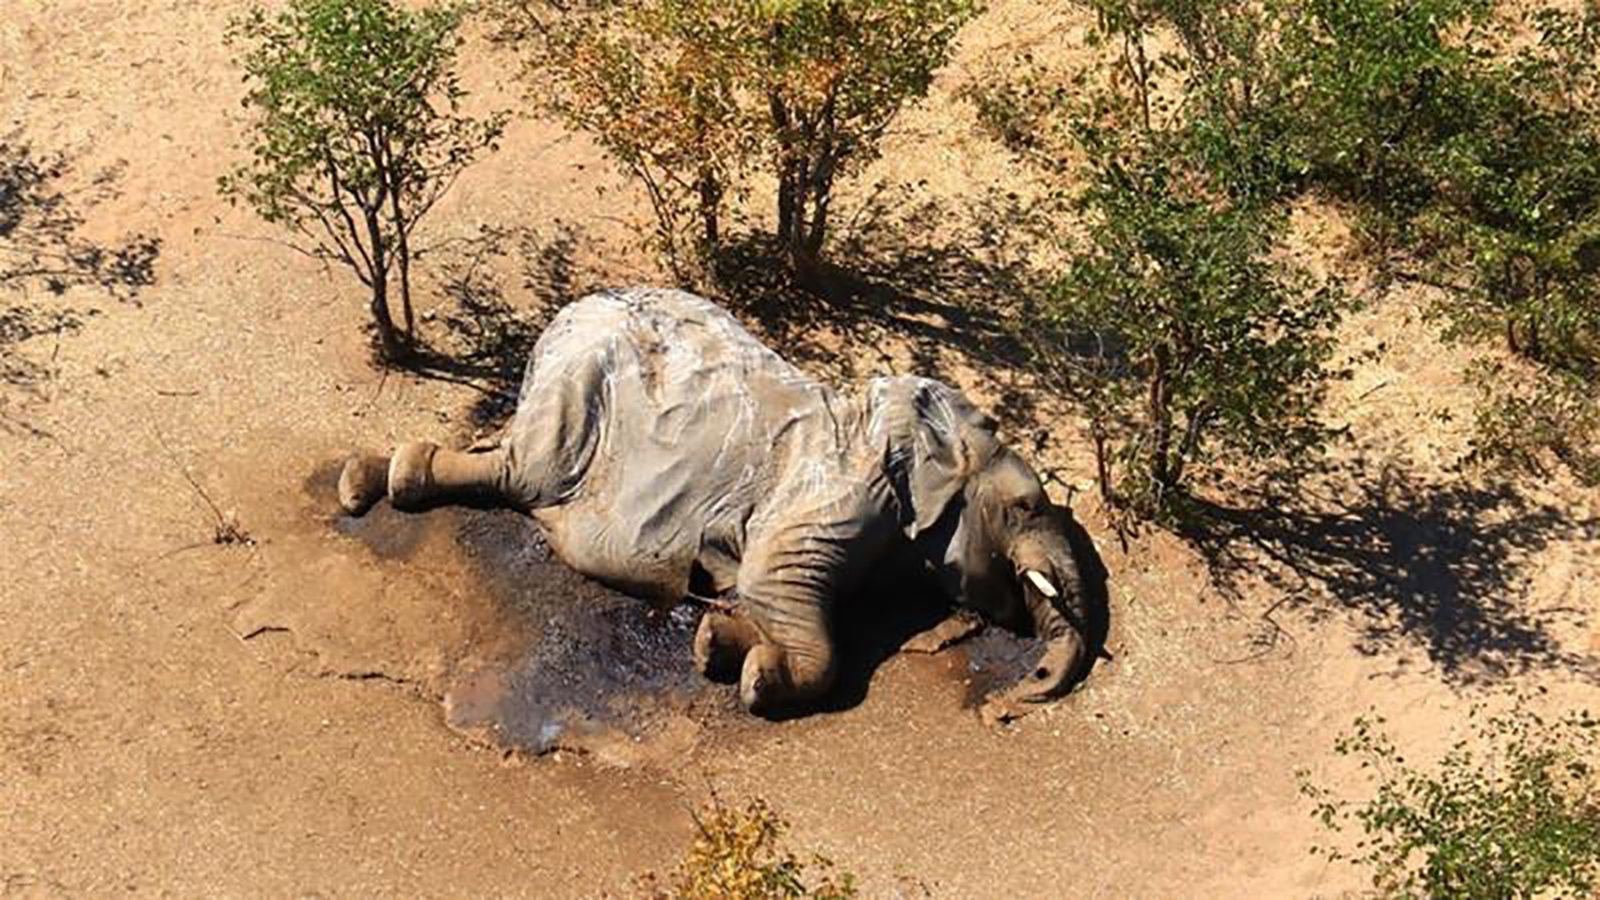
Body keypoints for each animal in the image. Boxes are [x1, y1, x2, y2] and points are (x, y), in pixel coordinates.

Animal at [340, 286, 1100, 720]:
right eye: (1027, 507)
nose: (1010, 704)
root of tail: (567, 313)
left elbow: (766, 597)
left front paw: (716, 644)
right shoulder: (837, 492)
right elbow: (776, 586)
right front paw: (760, 680)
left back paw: (365, 479)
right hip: (576, 389)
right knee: (521, 473)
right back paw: (377, 481)